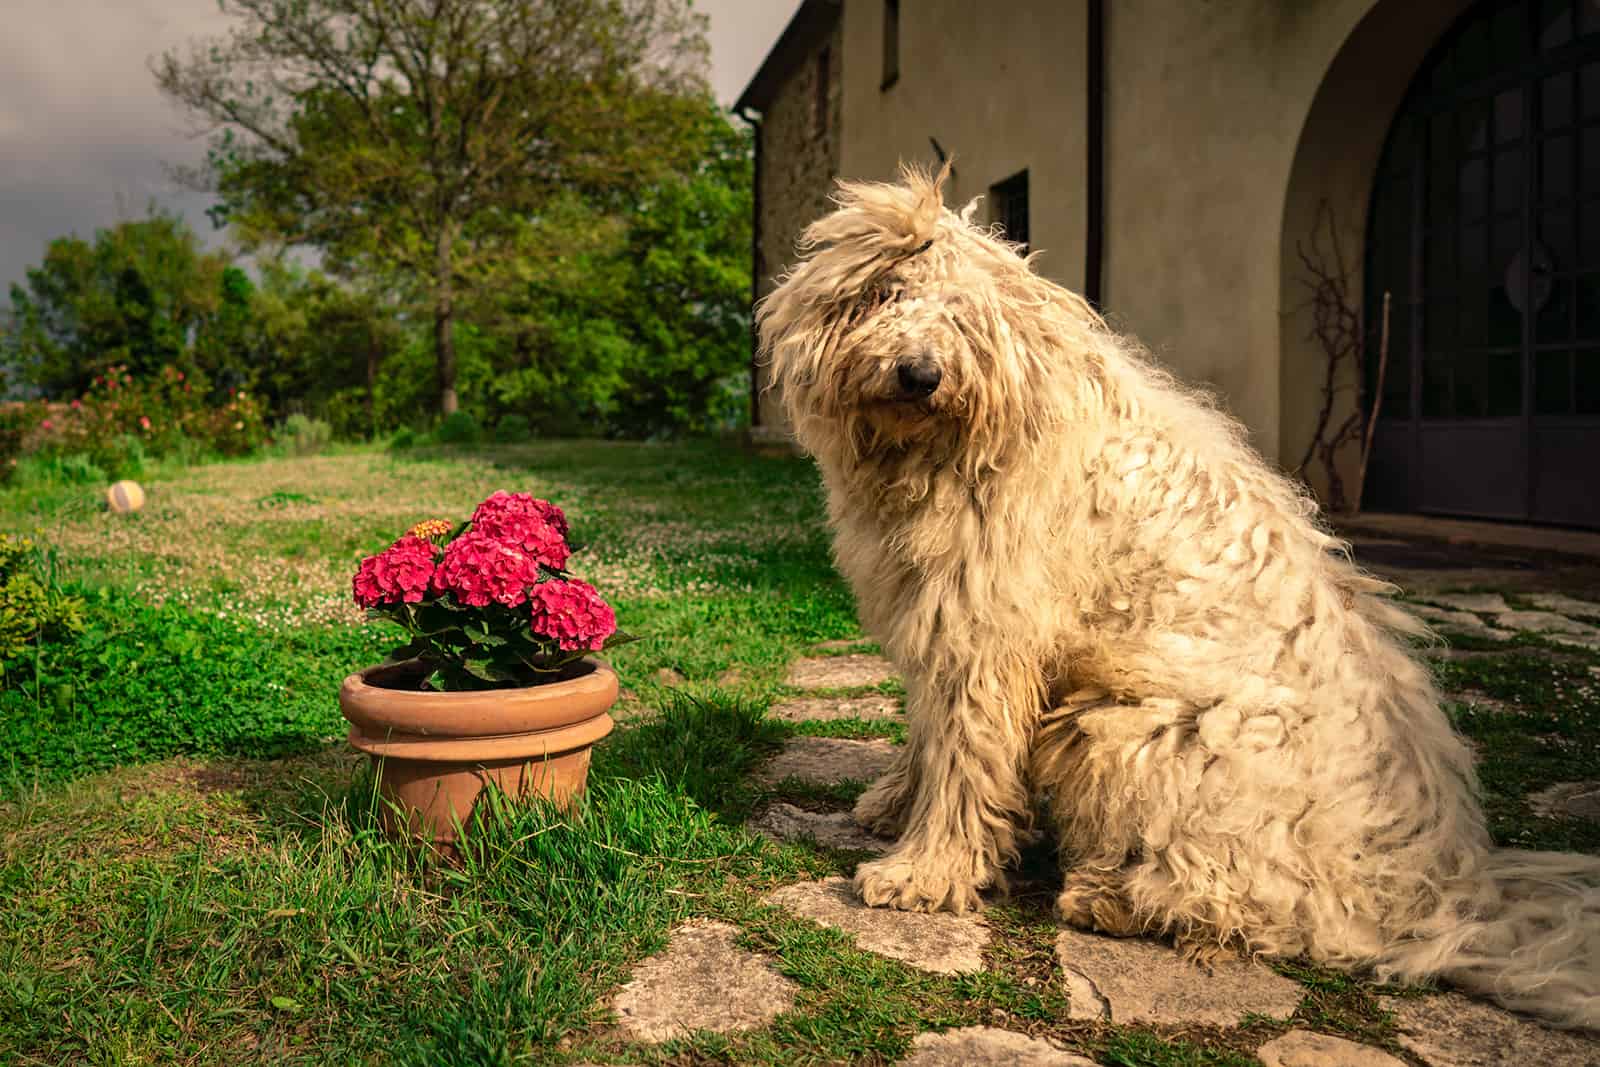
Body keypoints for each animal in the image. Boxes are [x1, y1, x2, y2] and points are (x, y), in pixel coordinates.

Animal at [758, 164, 1600, 1023]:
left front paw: (926, 869)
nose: (919, 373)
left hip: (1138, 732)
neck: (966, 441)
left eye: (965, 312)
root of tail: (1430, 891)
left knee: (1253, 904)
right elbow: (929, 735)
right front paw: (895, 804)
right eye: (887, 292)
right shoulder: (939, 616)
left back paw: (1112, 897)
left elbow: (966, 754)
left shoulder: (988, 634)